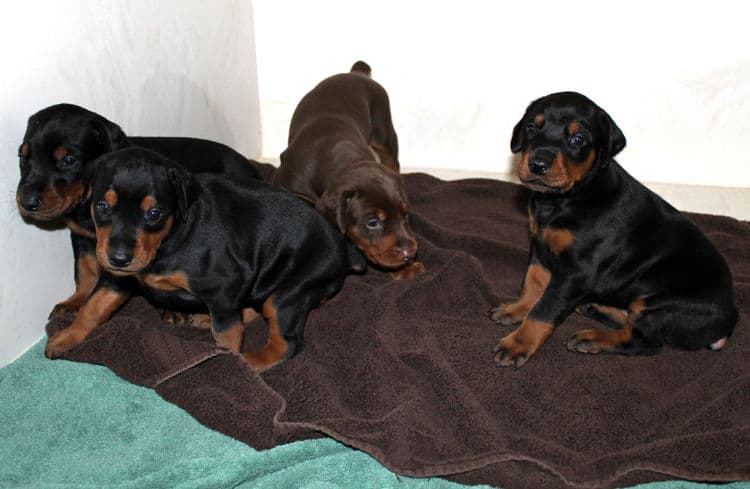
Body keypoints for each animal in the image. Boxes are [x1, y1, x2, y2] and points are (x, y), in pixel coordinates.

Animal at [16, 102, 262, 316]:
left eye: (68, 160)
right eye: (22, 156)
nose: (26, 202)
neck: (84, 207)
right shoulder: (80, 237)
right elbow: (84, 270)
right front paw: (76, 300)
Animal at [44, 149, 368, 370]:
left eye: (154, 213)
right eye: (102, 206)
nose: (119, 258)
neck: (172, 236)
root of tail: (344, 251)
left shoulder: (223, 286)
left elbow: (227, 334)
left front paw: (229, 365)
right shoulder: (117, 279)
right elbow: (92, 307)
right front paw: (65, 338)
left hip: (289, 293)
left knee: (284, 341)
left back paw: (250, 361)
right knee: (253, 311)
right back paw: (202, 318)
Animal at [274, 61, 426, 280]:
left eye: (405, 215)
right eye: (373, 223)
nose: (410, 252)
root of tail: (356, 72)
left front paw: (405, 268)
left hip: (384, 132)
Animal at [488, 91, 740, 368]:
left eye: (578, 139)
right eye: (532, 127)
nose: (537, 164)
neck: (568, 197)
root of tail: (727, 325)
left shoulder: (576, 271)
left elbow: (545, 308)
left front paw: (518, 344)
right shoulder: (540, 245)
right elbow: (533, 282)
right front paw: (517, 309)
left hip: (658, 303)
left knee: (646, 342)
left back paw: (592, 338)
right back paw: (593, 307)